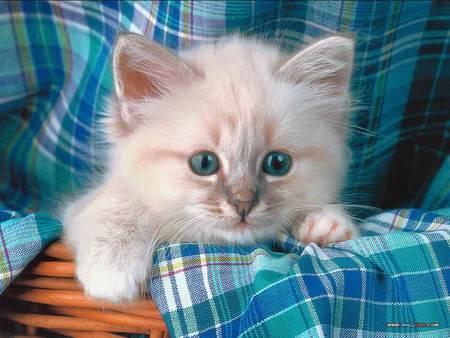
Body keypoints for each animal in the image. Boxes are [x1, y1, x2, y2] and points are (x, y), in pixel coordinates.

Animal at [62, 34, 358, 302]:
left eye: (277, 164)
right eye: (204, 163)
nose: (243, 205)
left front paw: (325, 224)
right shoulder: (84, 206)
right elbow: (120, 210)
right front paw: (109, 272)